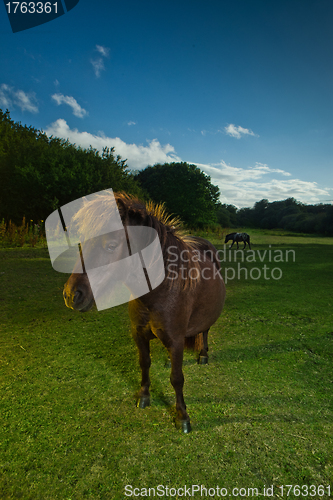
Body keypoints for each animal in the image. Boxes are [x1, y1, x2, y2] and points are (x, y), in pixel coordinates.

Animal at [62, 193, 226, 432]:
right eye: (81, 243)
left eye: (111, 246)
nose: (71, 295)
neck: (159, 292)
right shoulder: (139, 334)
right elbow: (144, 364)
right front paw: (144, 396)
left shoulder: (176, 340)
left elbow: (177, 378)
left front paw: (182, 416)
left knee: (204, 331)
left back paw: (203, 355)